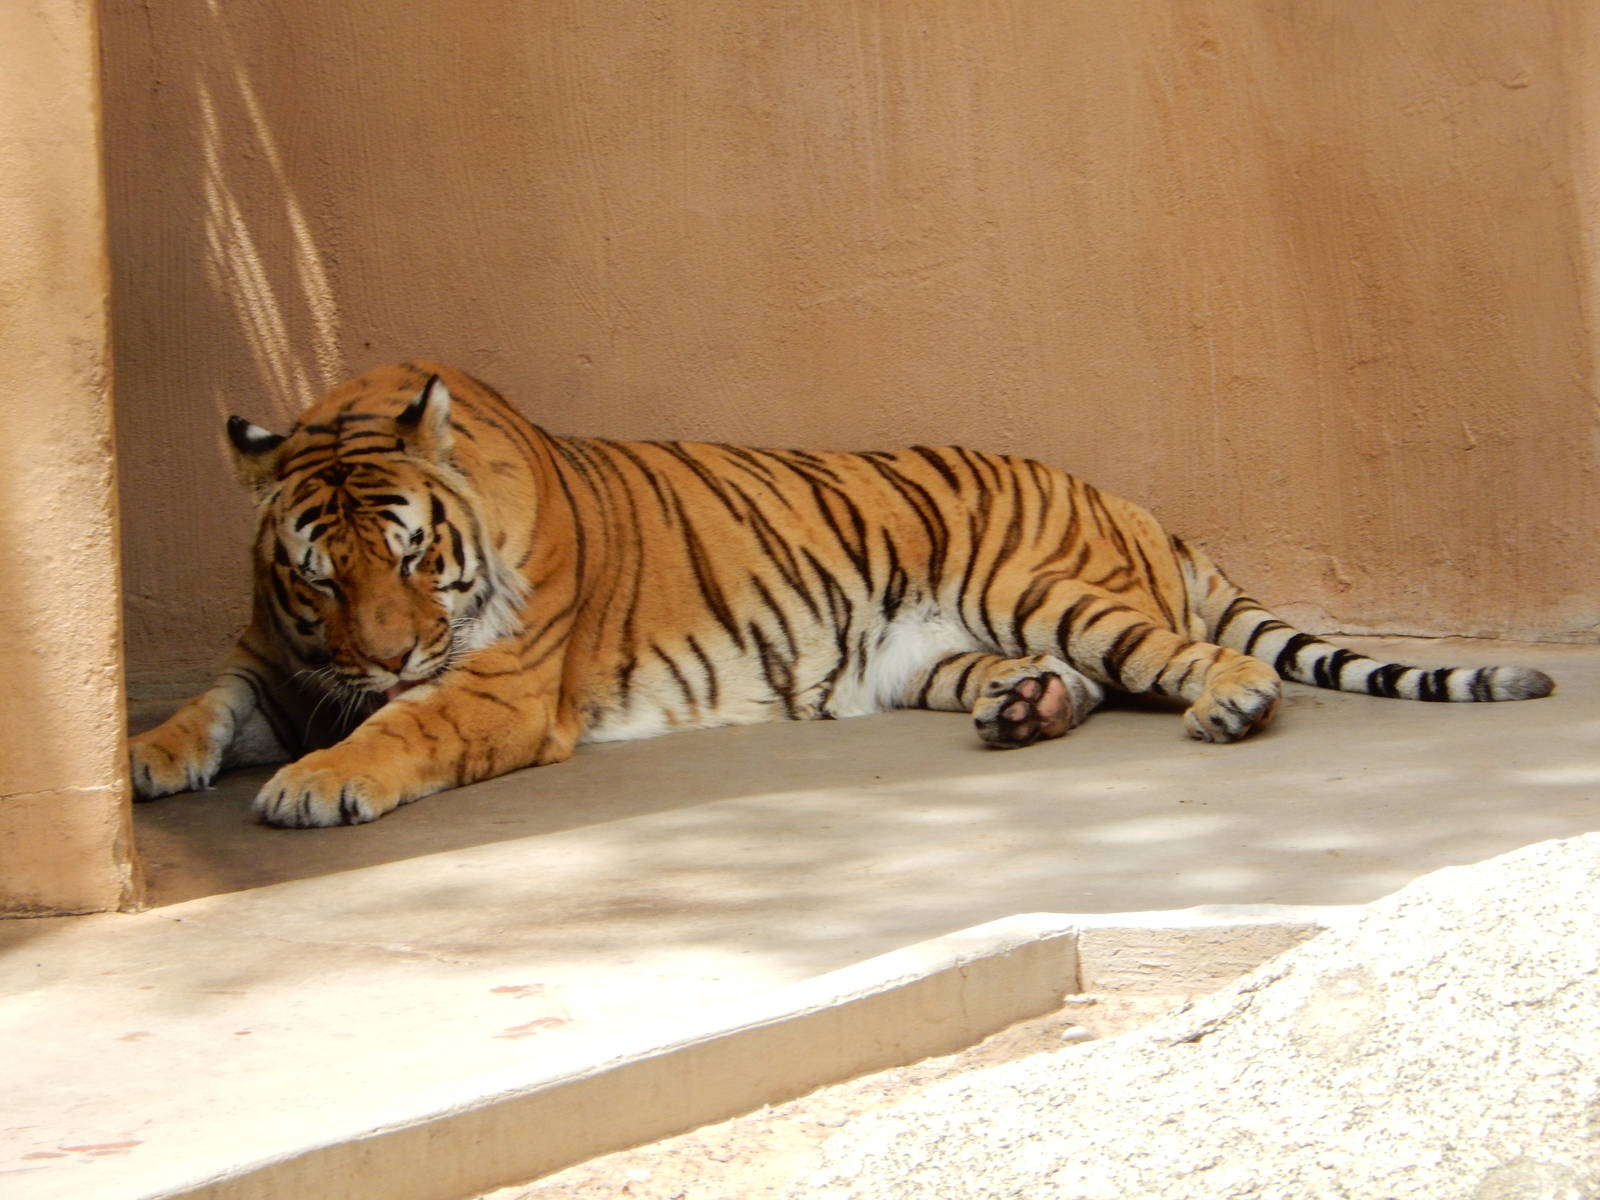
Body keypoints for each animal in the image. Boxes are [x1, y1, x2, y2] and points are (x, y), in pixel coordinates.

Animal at [129, 362, 1555, 827]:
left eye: (419, 561)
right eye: (319, 575)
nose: (381, 657)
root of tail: (1137, 504)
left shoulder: (499, 683)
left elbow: (405, 731)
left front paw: (317, 781)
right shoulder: (272, 657)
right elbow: (203, 706)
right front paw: (144, 758)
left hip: (1051, 589)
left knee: (1187, 659)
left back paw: (1228, 706)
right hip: (931, 654)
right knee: (1076, 685)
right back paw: (1023, 714)